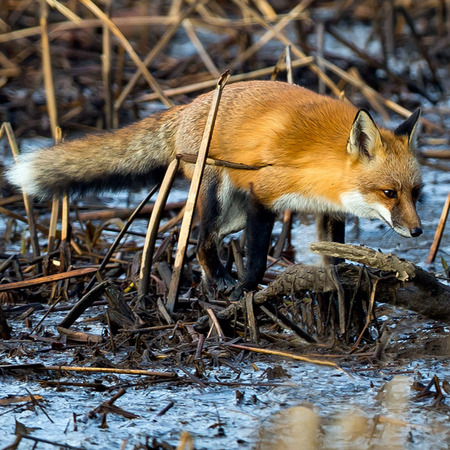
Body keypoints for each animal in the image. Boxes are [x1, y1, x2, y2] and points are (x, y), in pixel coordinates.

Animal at [6, 81, 422, 298]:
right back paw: (217, 280)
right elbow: (256, 258)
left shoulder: (328, 209)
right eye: (389, 193)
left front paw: (337, 284)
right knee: (198, 241)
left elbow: (332, 253)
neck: (323, 164)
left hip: (232, 216)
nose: (418, 231)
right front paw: (247, 289)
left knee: (199, 240)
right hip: (218, 195)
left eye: (416, 193)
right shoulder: (262, 196)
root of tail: (191, 104)